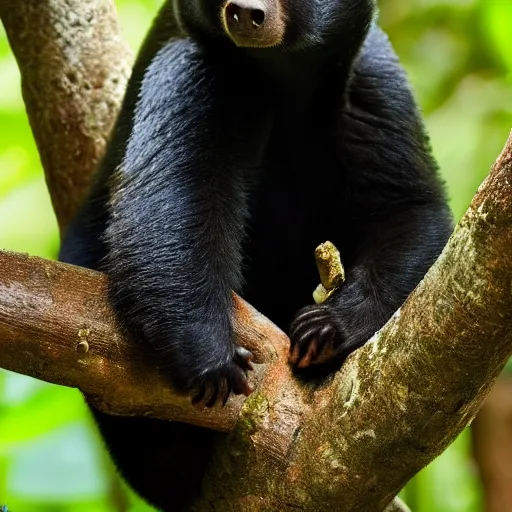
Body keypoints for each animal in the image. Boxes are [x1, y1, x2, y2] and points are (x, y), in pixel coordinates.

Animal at [59, 0, 452, 508]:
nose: (247, 10)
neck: (284, 78)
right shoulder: (195, 68)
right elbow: (173, 198)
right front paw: (211, 359)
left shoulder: (371, 81)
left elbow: (411, 209)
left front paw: (327, 327)